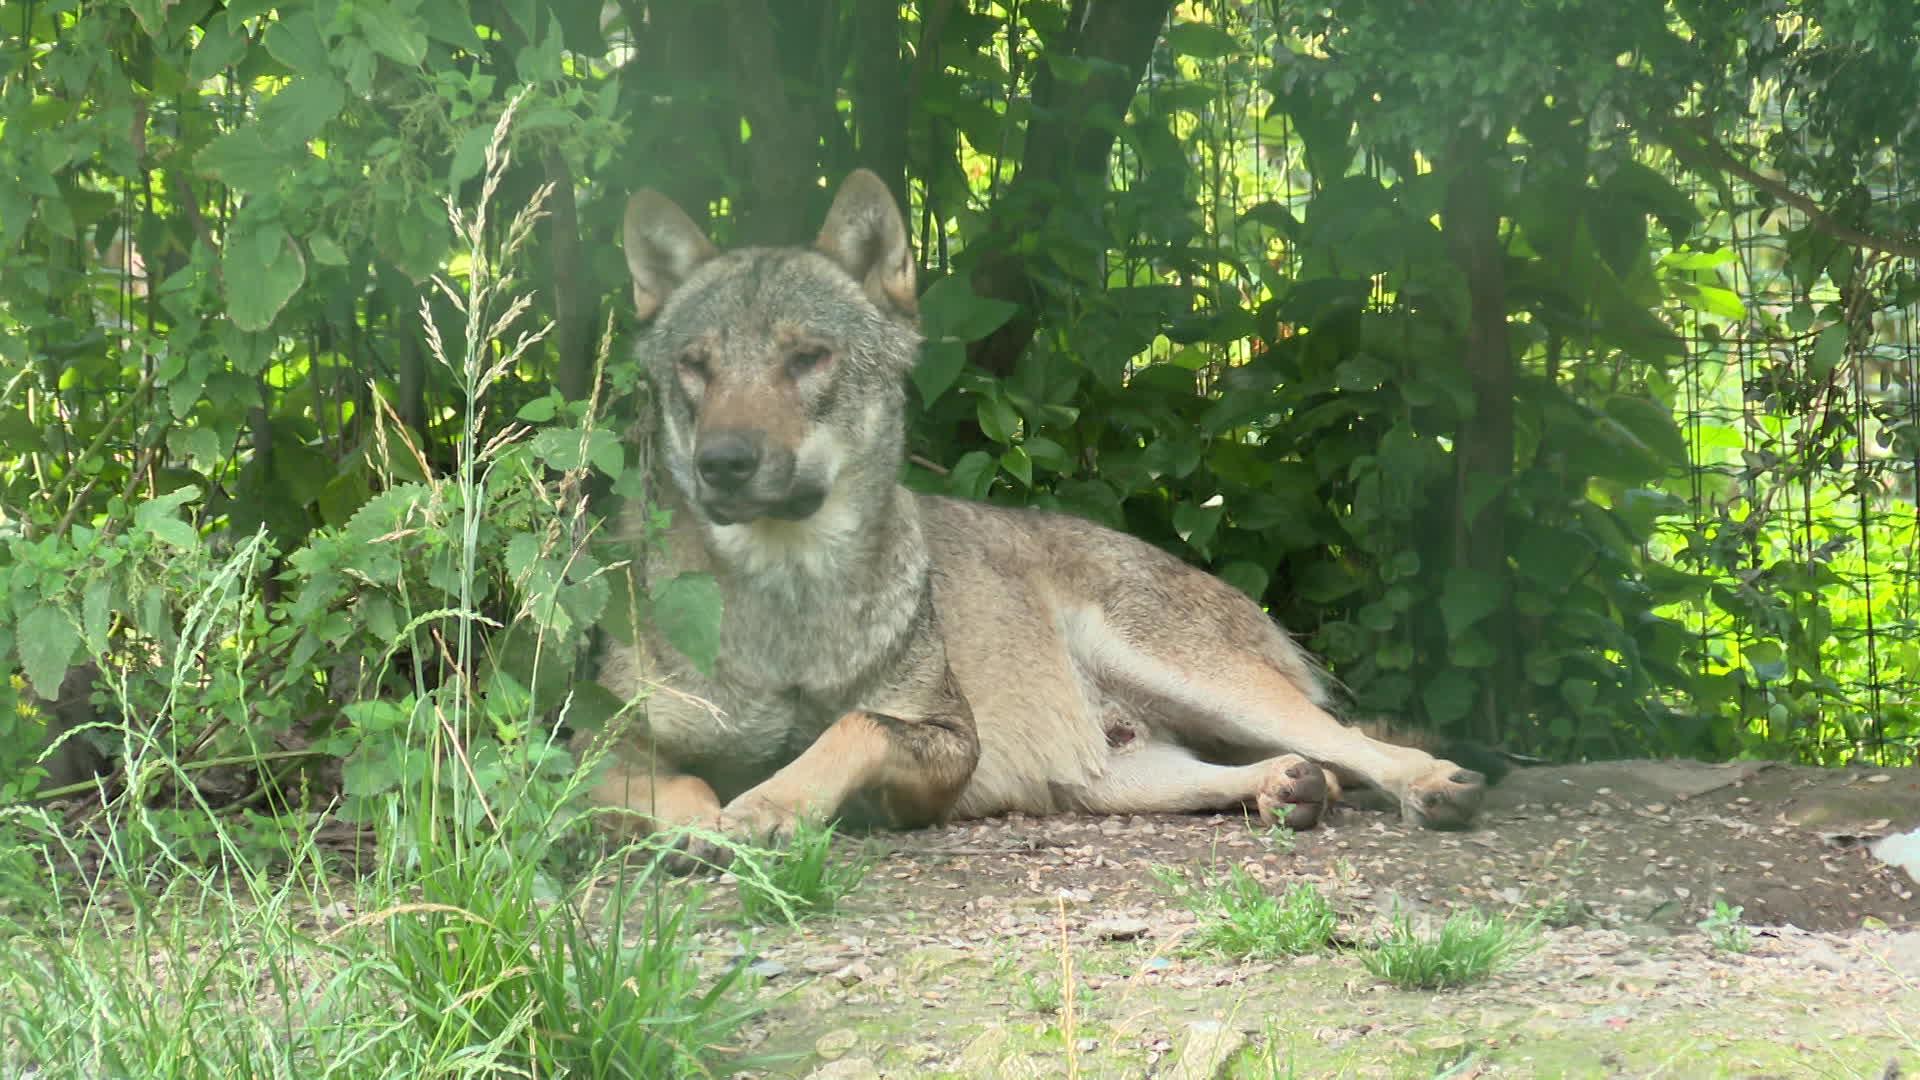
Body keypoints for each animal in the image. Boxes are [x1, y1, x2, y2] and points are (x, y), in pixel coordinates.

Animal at [579, 168, 1482, 841]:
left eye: (808, 358)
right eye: (696, 367)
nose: (723, 463)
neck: (788, 604)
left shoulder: (945, 755)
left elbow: (853, 727)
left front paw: (765, 804)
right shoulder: (587, 747)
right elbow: (674, 785)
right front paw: (701, 826)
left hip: (1203, 683)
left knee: (1351, 742)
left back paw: (1430, 783)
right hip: (1105, 781)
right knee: (1271, 769)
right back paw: (1286, 789)